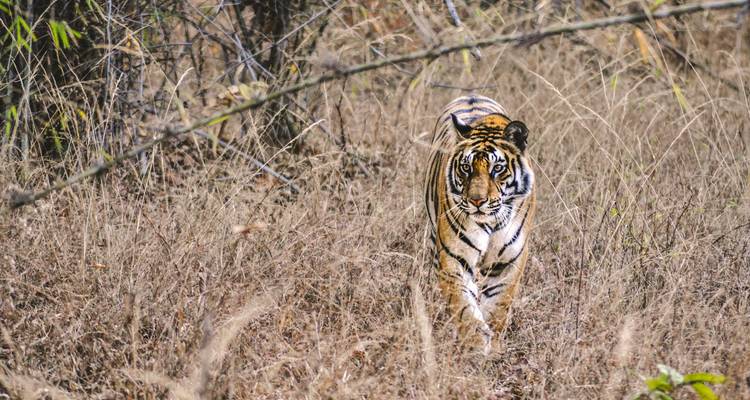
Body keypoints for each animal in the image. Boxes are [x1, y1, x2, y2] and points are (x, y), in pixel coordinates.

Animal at [424, 94, 536, 354]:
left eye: (498, 168)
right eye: (466, 167)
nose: (476, 201)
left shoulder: (508, 262)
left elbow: (498, 306)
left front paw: (493, 346)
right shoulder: (454, 258)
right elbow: (464, 307)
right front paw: (475, 343)